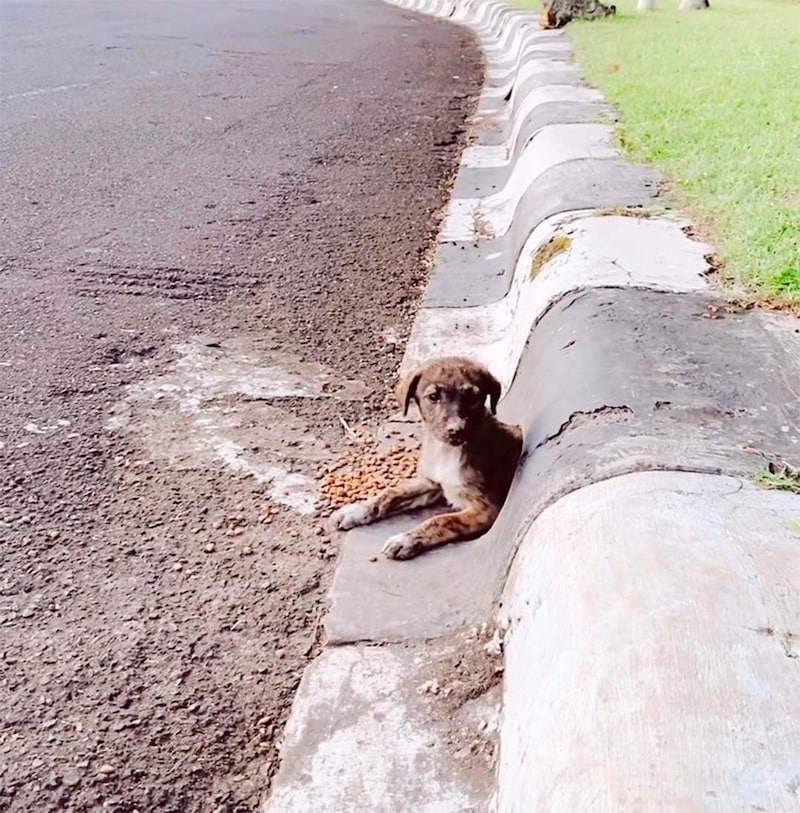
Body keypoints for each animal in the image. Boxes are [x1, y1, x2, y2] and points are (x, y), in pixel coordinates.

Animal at [332, 356, 524, 560]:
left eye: (473, 397)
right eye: (433, 397)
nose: (456, 430)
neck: (446, 451)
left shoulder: (486, 509)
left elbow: (442, 520)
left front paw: (406, 540)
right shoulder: (432, 483)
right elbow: (391, 493)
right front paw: (357, 510)